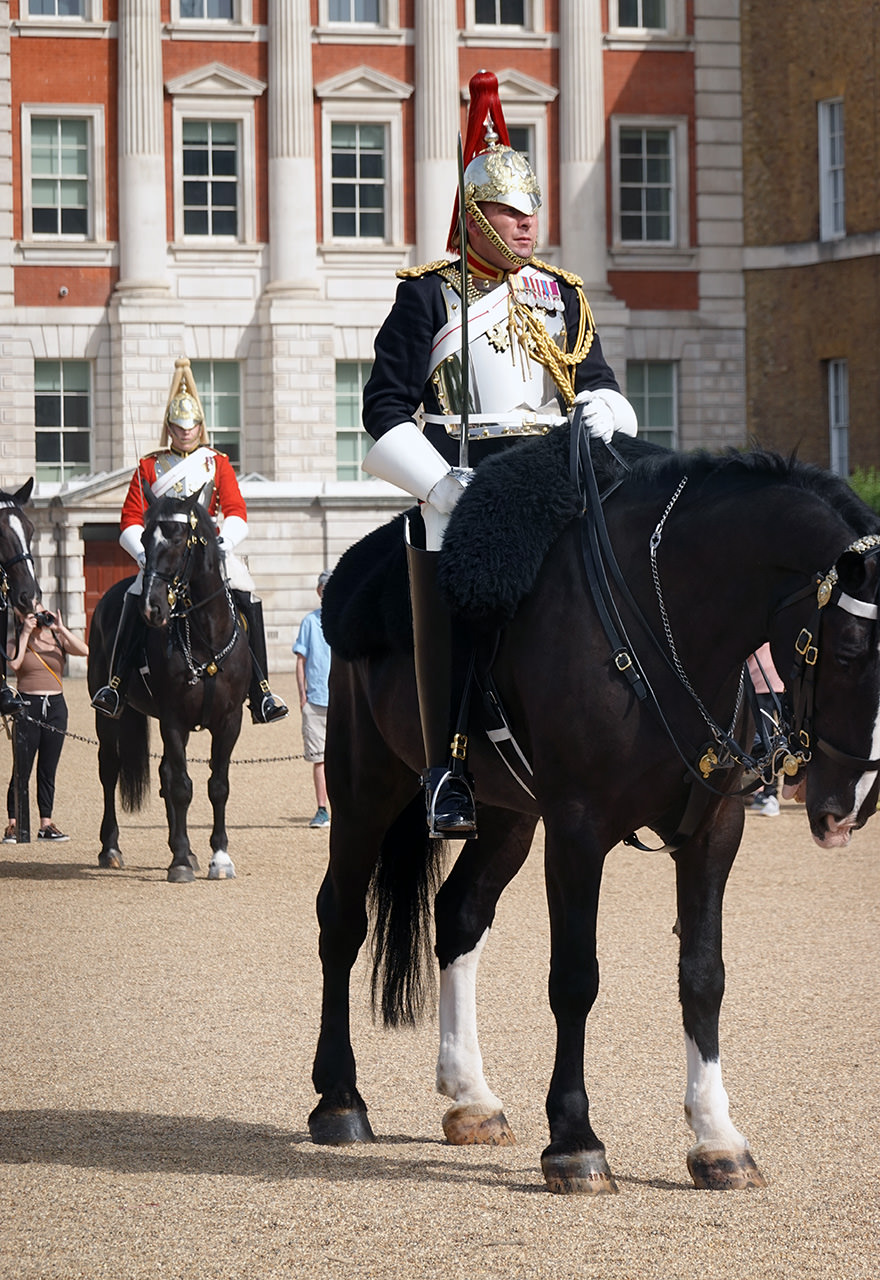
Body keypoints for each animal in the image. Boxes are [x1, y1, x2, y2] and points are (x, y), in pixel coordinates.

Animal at [87, 488, 250, 880]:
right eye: (146, 538)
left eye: (178, 540)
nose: (152, 608)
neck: (205, 638)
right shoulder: (174, 718)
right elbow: (181, 786)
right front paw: (180, 863)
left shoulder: (229, 720)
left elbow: (217, 785)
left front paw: (218, 857)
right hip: (108, 715)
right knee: (109, 769)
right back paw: (111, 848)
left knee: (163, 772)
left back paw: (184, 848)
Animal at [308, 427, 880, 1187]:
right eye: (846, 650)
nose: (850, 806)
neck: (668, 624)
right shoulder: (578, 830)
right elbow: (576, 978)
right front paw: (575, 1139)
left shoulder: (713, 831)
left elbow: (704, 976)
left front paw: (717, 1137)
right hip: (365, 787)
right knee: (342, 919)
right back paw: (339, 1100)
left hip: (510, 818)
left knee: (458, 915)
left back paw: (471, 1096)